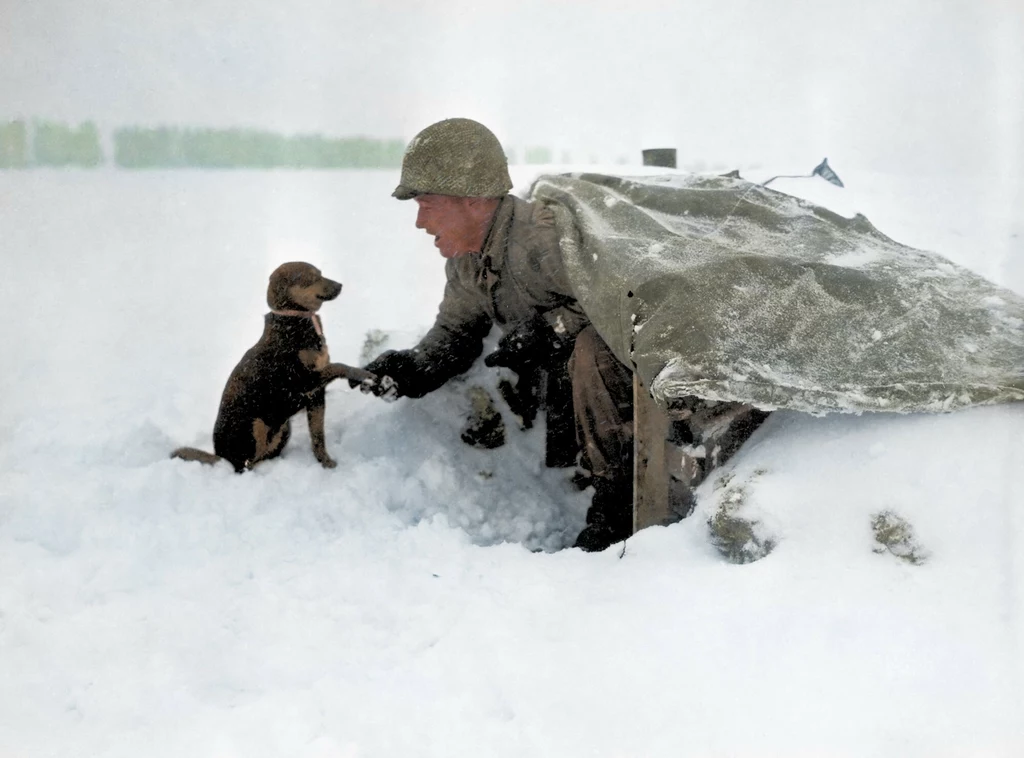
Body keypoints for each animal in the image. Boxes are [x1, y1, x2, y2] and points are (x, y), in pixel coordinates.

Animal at [172, 264, 376, 471]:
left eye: (321, 273)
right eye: (311, 278)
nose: (340, 285)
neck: (294, 322)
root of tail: (221, 457)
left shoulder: (316, 396)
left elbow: (318, 437)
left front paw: (326, 463)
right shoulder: (303, 381)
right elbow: (338, 366)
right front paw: (362, 373)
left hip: (283, 427)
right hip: (255, 425)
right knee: (245, 464)